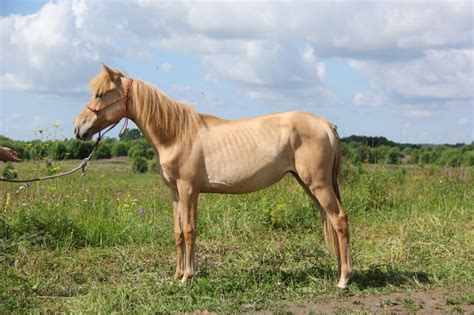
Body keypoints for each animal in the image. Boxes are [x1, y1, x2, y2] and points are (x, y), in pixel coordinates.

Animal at [74, 64, 352, 292]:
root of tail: (326, 125)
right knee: (331, 219)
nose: (78, 128)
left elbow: (189, 230)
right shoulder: (176, 193)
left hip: (318, 184)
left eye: (101, 94)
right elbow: (179, 232)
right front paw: (178, 275)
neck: (177, 134)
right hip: (308, 184)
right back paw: (340, 272)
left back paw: (344, 279)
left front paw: (187, 277)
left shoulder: (188, 189)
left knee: (339, 219)